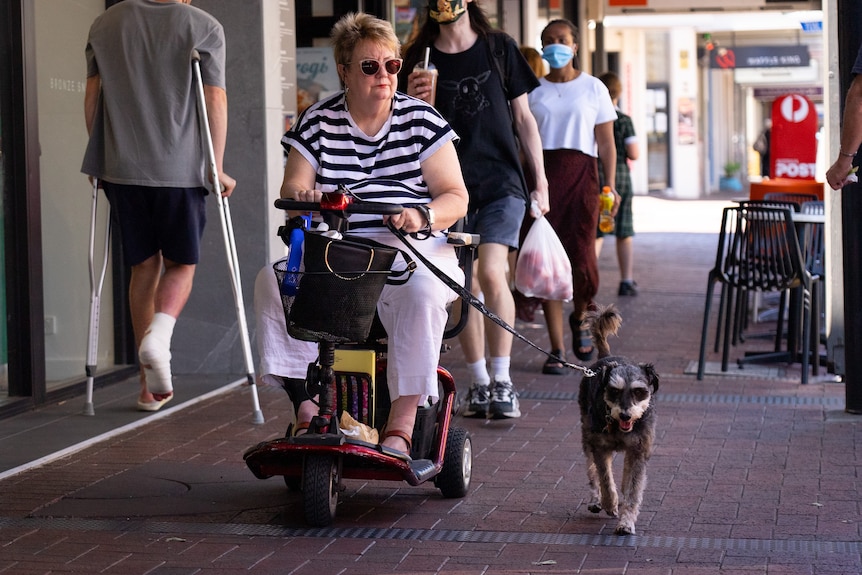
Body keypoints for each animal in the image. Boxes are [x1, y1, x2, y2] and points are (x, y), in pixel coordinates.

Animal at [580, 306, 660, 536]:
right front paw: (610, 504)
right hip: (586, 436)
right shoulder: (600, 447)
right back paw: (596, 500)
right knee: (592, 471)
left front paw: (626, 522)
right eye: (614, 391)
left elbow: (633, 488)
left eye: (639, 391)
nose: (625, 415)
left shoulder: (639, 450)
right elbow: (606, 479)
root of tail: (606, 356)